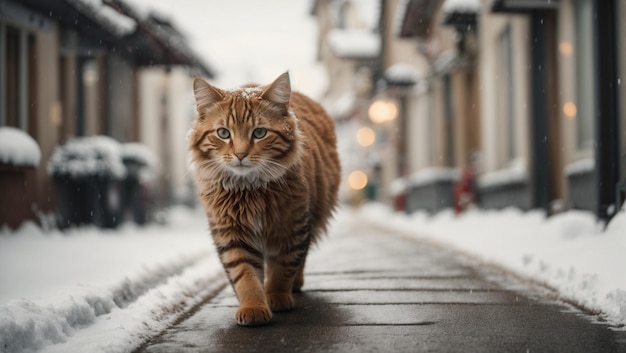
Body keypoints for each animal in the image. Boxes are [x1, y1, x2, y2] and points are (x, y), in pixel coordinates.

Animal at [188, 72, 338, 328]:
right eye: (223, 133)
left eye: (259, 133)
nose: (240, 154)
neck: (250, 191)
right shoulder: (232, 233)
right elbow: (245, 275)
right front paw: (254, 306)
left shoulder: (292, 227)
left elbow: (284, 268)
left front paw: (276, 296)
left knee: (300, 258)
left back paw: (294, 285)